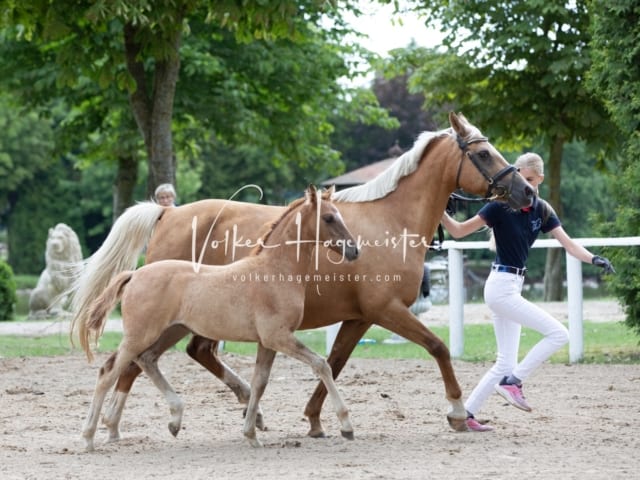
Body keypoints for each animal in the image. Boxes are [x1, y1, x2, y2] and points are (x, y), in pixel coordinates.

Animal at [75, 185, 360, 450]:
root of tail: (134, 274)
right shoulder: (278, 337)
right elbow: (321, 365)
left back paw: (174, 419)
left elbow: (259, 383)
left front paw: (251, 434)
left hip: (171, 330)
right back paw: (88, 437)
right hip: (139, 335)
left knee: (146, 360)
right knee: (109, 372)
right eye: (329, 218)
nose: (354, 251)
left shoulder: (267, 342)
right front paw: (346, 426)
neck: (274, 271)